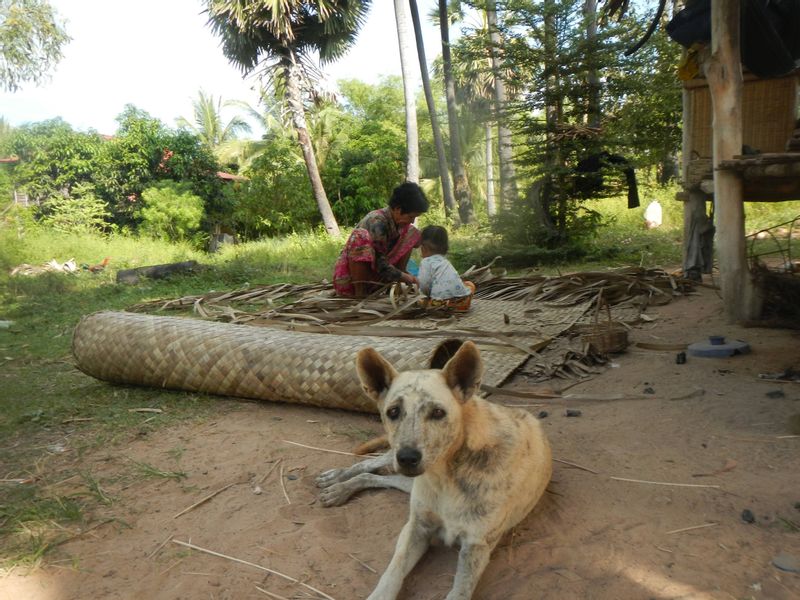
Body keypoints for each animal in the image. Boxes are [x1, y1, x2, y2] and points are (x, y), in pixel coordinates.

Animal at [316, 342, 552, 600]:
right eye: (393, 412)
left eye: (438, 413)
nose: (408, 458)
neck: (446, 474)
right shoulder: (416, 527)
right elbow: (392, 572)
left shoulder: (475, 546)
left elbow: (459, 592)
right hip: (402, 470)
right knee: (369, 466)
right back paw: (338, 481)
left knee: (377, 476)